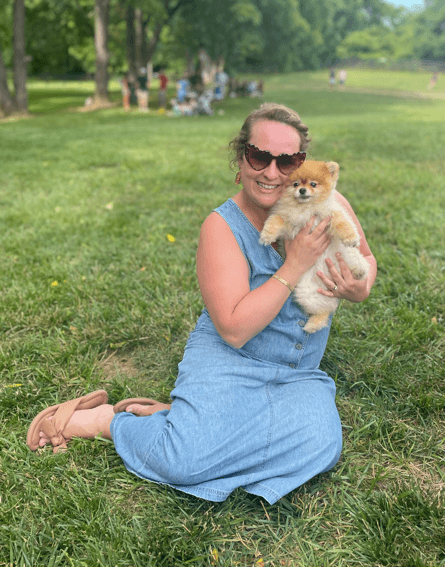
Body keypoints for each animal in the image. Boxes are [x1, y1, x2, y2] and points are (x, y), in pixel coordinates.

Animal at [260, 161, 368, 332]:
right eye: (296, 184)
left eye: (313, 184)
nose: (302, 190)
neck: (306, 208)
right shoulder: (288, 223)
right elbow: (274, 220)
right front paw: (266, 235)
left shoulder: (329, 215)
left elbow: (342, 223)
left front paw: (351, 237)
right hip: (307, 292)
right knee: (325, 310)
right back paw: (312, 324)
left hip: (349, 256)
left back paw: (358, 273)